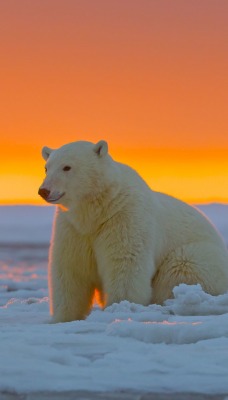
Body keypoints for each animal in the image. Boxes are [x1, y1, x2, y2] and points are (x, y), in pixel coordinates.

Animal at [38, 140, 228, 322]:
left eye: (67, 167)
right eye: (47, 168)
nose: (44, 191)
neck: (98, 210)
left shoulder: (124, 217)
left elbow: (125, 264)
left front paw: (119, 307)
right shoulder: (73, 228)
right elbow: (70, 269)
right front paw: (63, 318)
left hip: (199, 257)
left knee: (181, 267)